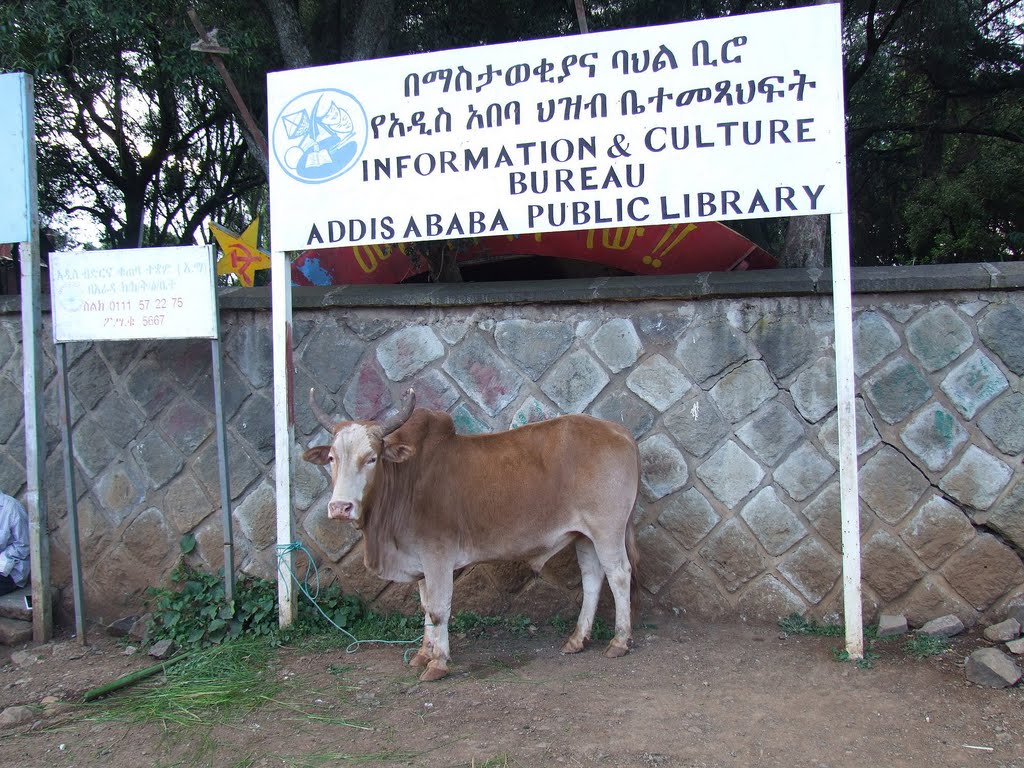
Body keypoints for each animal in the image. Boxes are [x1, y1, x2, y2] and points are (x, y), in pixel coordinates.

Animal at [301, 387, 638, 684]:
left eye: (372, 457)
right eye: (332, 458)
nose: (340, 507)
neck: (407, 480)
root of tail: (620, 432)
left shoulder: (438, 557)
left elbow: (439, 610)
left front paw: (438, 663)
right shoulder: (421, 562)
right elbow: (425, 608)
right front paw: (423, 653)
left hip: (607, 530)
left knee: (619, 575)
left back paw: (619, 642)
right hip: (584, 536)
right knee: (593, 578)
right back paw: (578, 639)